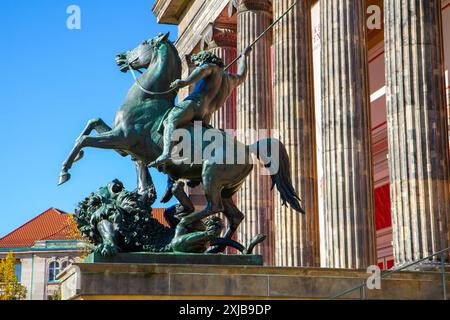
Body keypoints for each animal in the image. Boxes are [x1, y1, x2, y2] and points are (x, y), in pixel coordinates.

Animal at [59, 33, 304, 252]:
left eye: (144, 42)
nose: (120, 57)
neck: (149, 97)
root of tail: (249, 147)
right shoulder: (125, 146)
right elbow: (93, 123)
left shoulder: (121, 136)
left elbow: (84, 139)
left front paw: (65, 171)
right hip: (227, 188)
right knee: (235, 216)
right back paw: (215, 245)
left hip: (211, 175)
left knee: (214, 206)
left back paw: (188, 226)